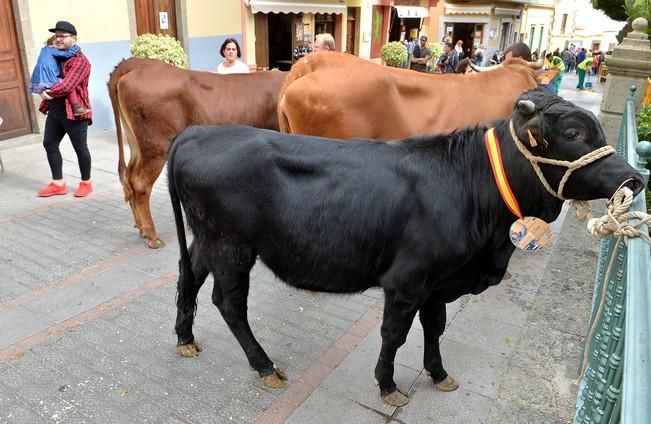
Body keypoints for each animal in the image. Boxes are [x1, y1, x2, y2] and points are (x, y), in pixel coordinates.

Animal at [107, 58, 286, 247]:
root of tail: (138, 63)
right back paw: (152, 235)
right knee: (140, 183)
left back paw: (141, 228)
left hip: (136, 143)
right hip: (156, 146)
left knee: (129, 177)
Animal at [166, 92, 644, 408]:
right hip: (232, 246)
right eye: (573, 133)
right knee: (229, 303)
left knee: (189, 278)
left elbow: (435, 328)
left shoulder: (439, 281)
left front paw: (439, 373)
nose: (635, 179)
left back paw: (186, 338)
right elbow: (394, 334)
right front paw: (387, 384)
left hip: (207, 239)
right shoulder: (407, 281)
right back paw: (264, 365)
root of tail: (196, 133)